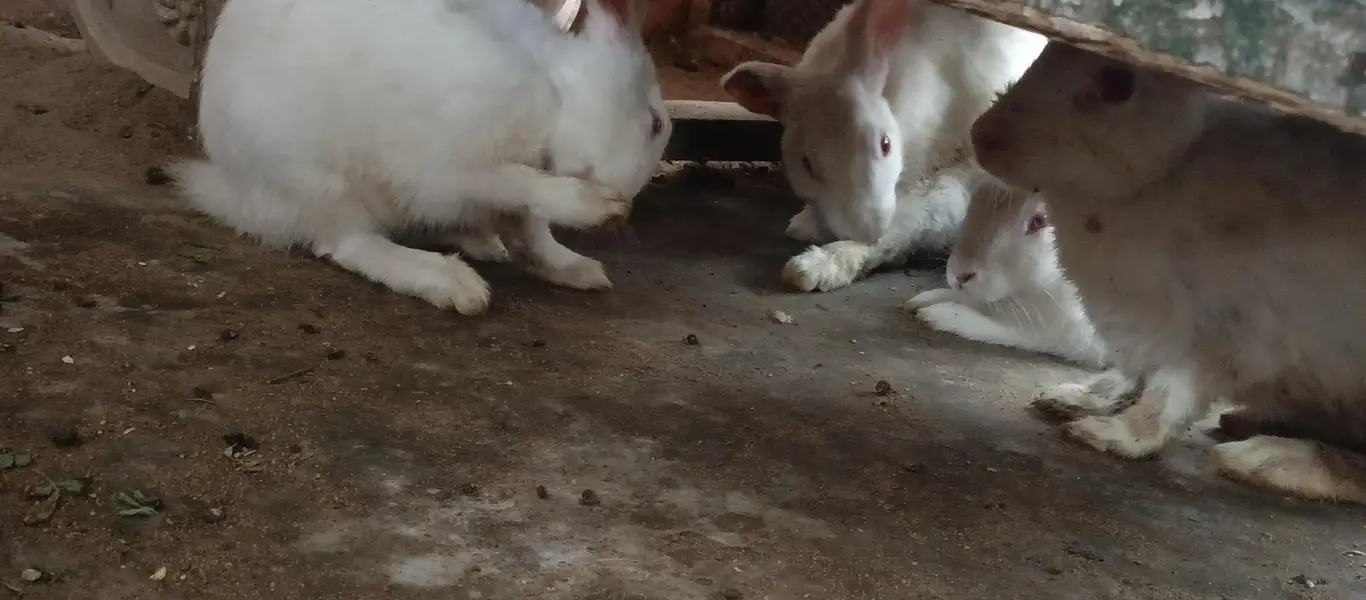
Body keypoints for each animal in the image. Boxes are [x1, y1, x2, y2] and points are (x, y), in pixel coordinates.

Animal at [169, 0, 672, 315]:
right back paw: (447, 279)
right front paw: (597, 207)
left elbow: (533, 230)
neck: (554, 94)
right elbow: (524, 188)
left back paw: (480, 243)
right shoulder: (454, 167)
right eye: (656, 123)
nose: (628, 201)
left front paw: (575, 268)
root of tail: (240, 194)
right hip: (321, 184)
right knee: (349, 244)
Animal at [719, 0, 1046, 292]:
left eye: (885, 144)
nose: (866, 229)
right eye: (806, 163)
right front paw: (805, 225)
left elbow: (915, 220)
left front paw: (812, 268)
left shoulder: (964, 173)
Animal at [971, 40, 1366, 504]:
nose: (982, 135)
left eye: (1118, 82)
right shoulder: (1143, 335)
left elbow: (1165, 398)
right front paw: (1076, 399)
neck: (1167, 169)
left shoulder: (1218, 336)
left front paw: (1109, 435)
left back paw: (1262, 459)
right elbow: (1131, 379)